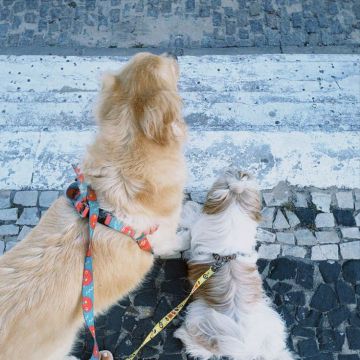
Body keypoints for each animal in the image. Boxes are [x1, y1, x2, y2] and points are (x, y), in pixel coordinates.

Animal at [174, 171, 296, 360]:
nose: (241, 173)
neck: (232, 212)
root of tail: (243, 343)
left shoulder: (198, 226)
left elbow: (192, 218)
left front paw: (188, 208)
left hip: (198, 314)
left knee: (204, 349)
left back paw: (184, 337)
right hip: (272, 320)